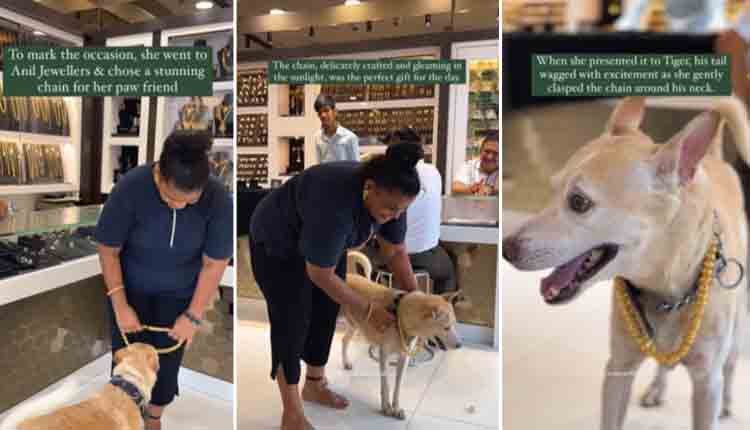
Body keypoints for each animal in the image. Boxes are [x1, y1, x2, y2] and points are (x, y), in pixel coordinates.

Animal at [342, 274, 462, 418]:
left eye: (454, 324)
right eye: (446, 327)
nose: (460, 345)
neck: (400, 317)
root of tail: (349, 274)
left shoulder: (404, 357)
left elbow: (398, 387)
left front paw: (396, 408)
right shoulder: (384, 355)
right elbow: (386, 385)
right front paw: (386, 408)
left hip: (353, 325)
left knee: (344, 340)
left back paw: (346, 363)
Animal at [502, 97, 750, 430]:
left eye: (578, 202)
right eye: (552, 188)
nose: (506, 249)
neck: (663, 291)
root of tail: (712, 157)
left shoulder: (706, 383)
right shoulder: (618, 369)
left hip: (736, 331)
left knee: (731, 365)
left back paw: (727, 403)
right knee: (665, 364)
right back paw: (657, 388)